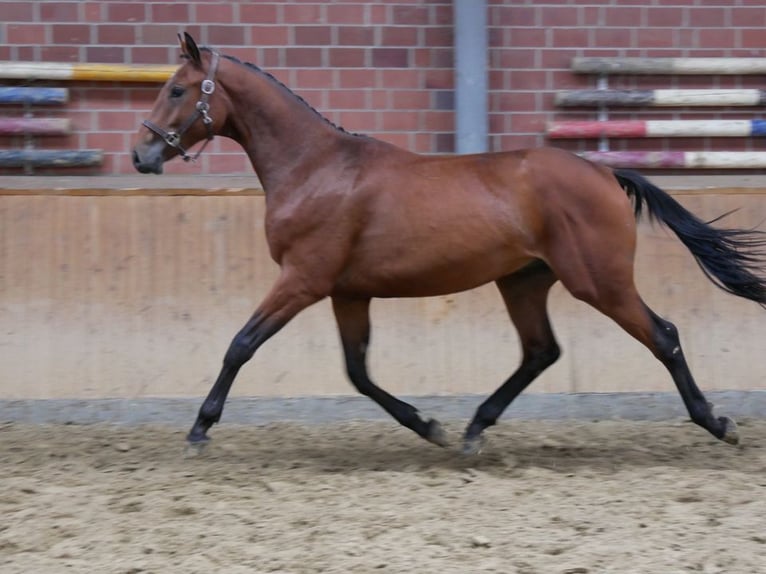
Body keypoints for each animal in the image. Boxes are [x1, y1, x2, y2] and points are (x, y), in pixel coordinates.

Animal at [129, 33, 764, 456]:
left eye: (177, 90)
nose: (141, 154)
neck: (315, 167)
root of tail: (606, 173)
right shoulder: (346, 292)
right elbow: (357, 371)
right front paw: (428, 426)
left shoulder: (302, 280)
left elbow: (241, 344)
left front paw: (200, 428)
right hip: (524, 280)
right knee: (541, 351)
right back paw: (473, 429)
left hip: (598, 282)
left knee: (664, 335)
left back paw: (717, 422)